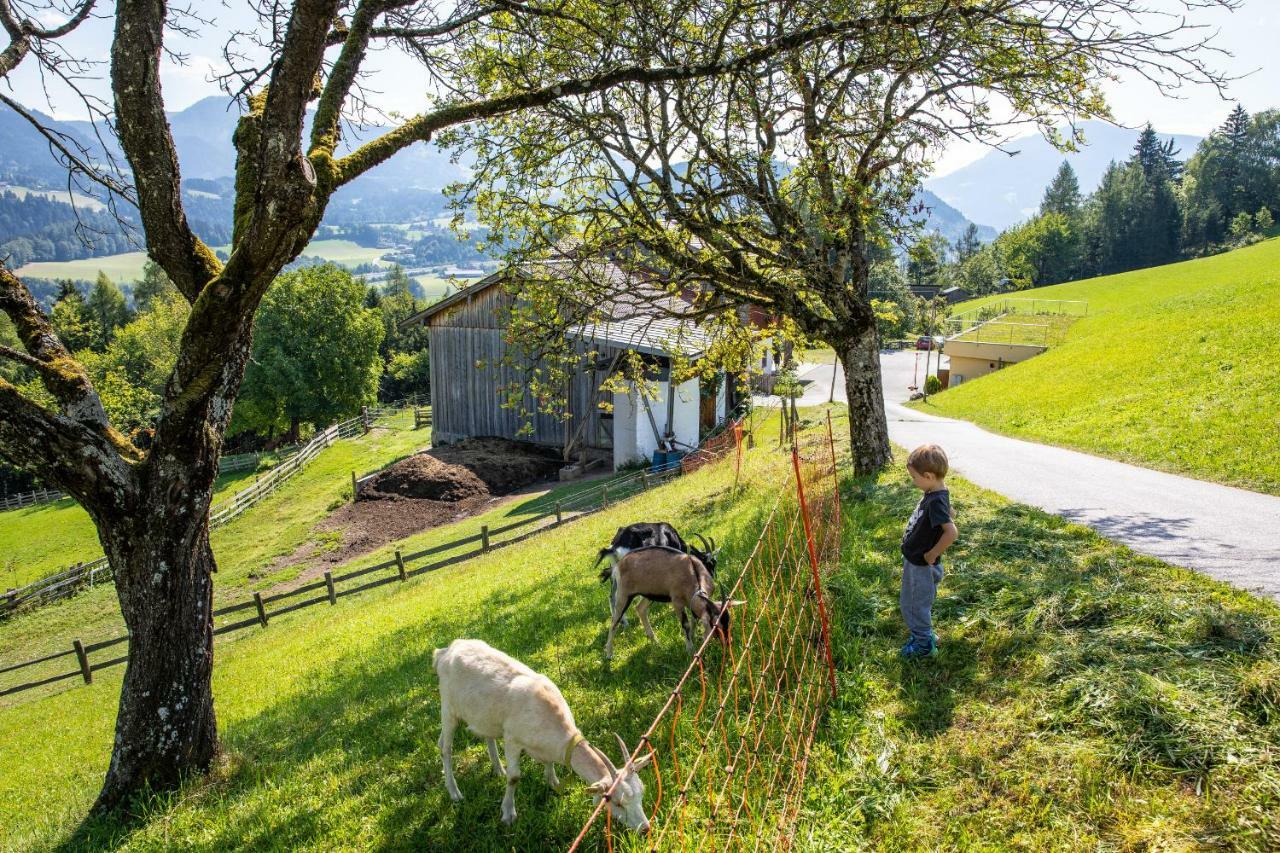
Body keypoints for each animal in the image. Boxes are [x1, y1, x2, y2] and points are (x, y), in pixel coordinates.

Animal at [432, 637, 650, 824]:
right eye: (617, 802)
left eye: (642, 793)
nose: (644, 828)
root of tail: (444, 652)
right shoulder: (512, 739)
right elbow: (514, 777)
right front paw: (508, 813)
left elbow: (548, 762)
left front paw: (552, 781)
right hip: (448, 708)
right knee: (444, 747)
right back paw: (454, 792)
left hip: (484, 714)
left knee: (487, 737)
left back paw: (498, 769)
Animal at [604, 545, 747, 655]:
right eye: (715, 626)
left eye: (728, 621)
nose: (728, 642)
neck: (693, 573)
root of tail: (618, 565)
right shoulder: (677, 602)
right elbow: (686, 624)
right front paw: (690, 649)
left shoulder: (691, 603)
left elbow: (693, 620)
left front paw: (693, 637)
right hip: (624, 594)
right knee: (614, 621)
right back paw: (609, 653)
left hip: (650, 594)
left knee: (640, 609)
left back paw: (655, 641)